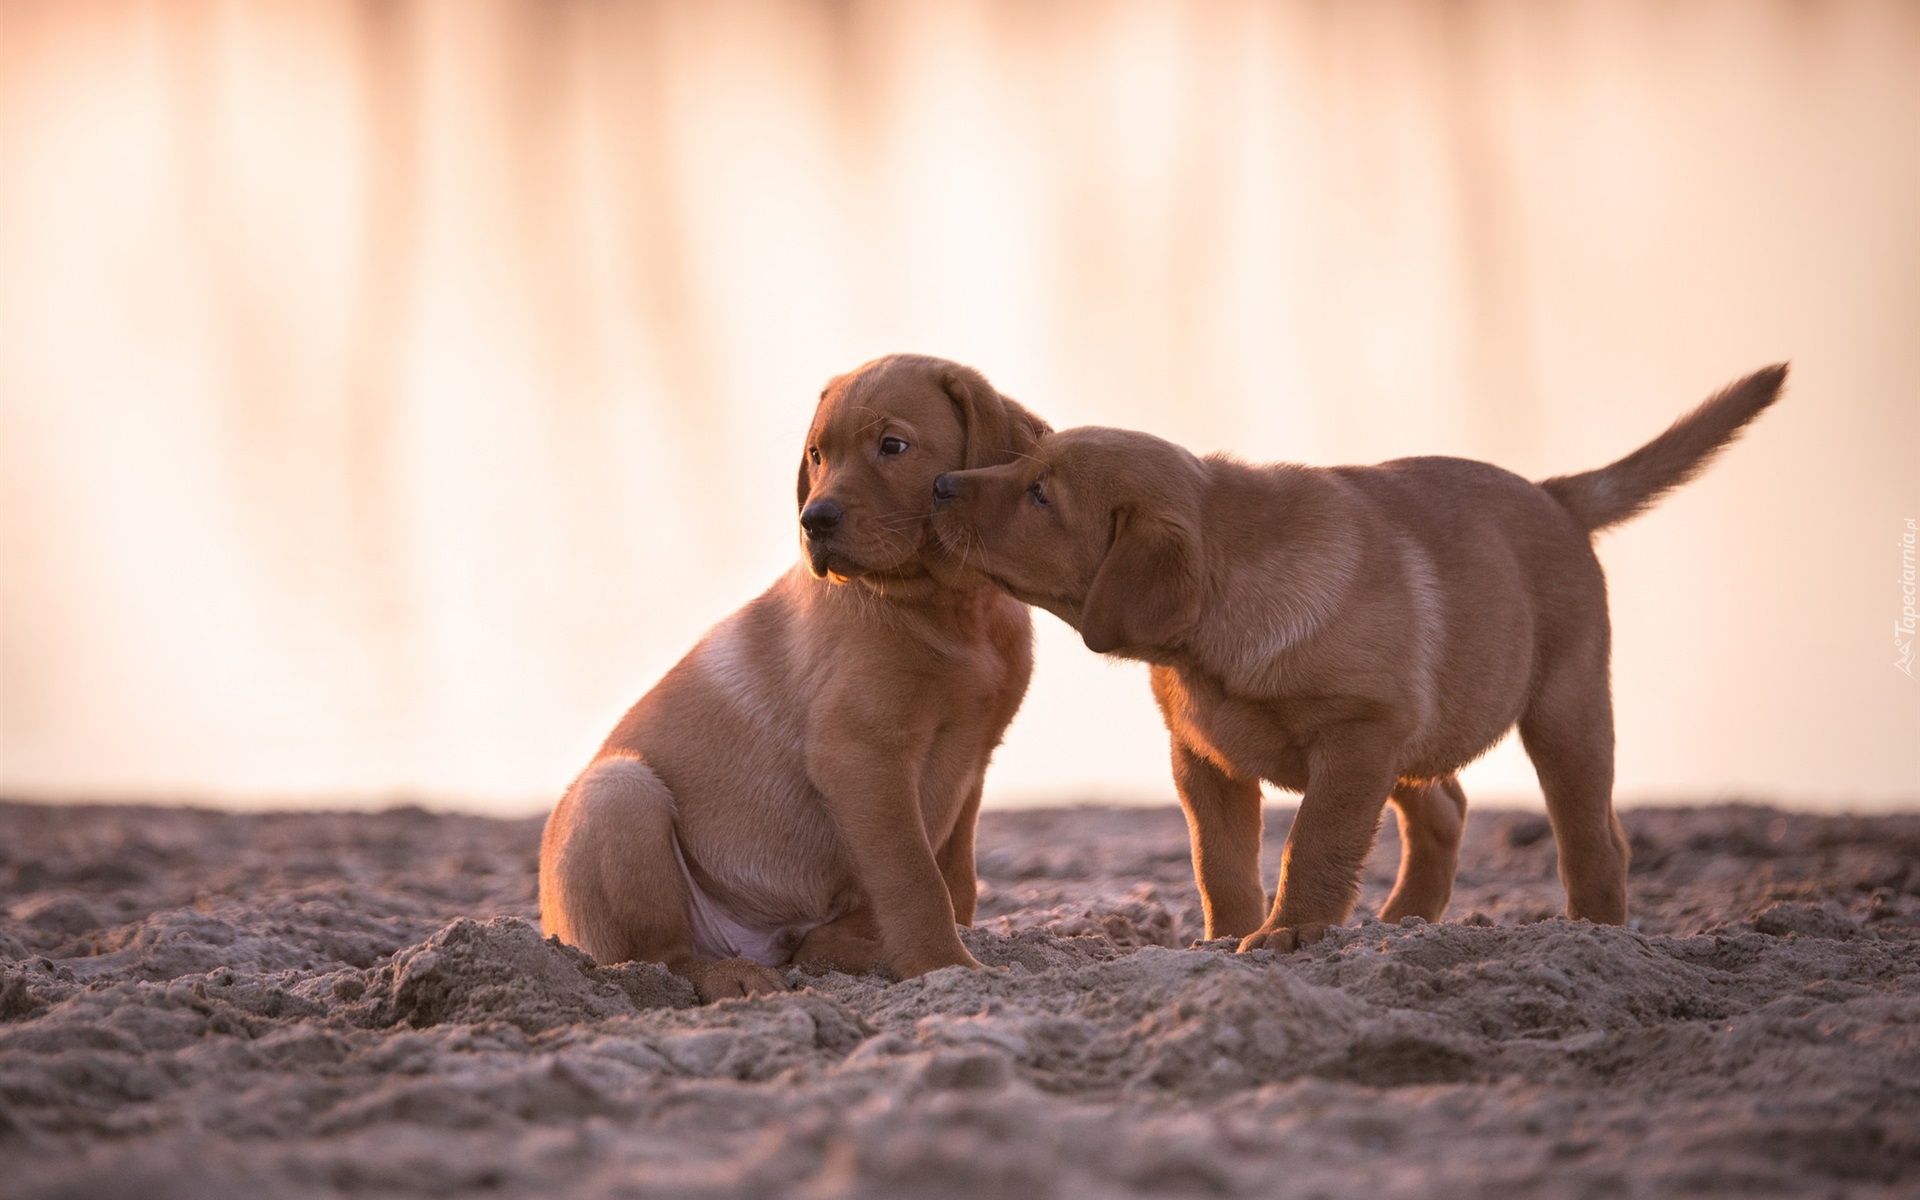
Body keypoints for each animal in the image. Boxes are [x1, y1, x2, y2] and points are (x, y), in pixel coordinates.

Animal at [541, 351, 1052, 998]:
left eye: (893, 445)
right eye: (817, 455)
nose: (815, 520)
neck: (954, 609)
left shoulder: (974, 757)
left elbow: (957, 878)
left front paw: (951, 953)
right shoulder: (860, 753)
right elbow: (917, 880)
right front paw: (946, 966)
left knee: (811, 945)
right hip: (619, 791)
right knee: (663, 957)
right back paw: (732, 974)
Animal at [929, 362, 1781, 944]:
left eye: (1041, 496)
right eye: (1021, 463)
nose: (941, 484)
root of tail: (1553, 493)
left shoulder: (1355, 737)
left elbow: (1315, 845)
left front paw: (1288, 934)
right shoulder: (1204, 756)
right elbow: (1219, 860)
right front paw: (1226, 937)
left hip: (1562, 710)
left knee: (1592, 837)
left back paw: (1592, 930)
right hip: (1422, 728)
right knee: (1444, 808)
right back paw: (1405, 919)